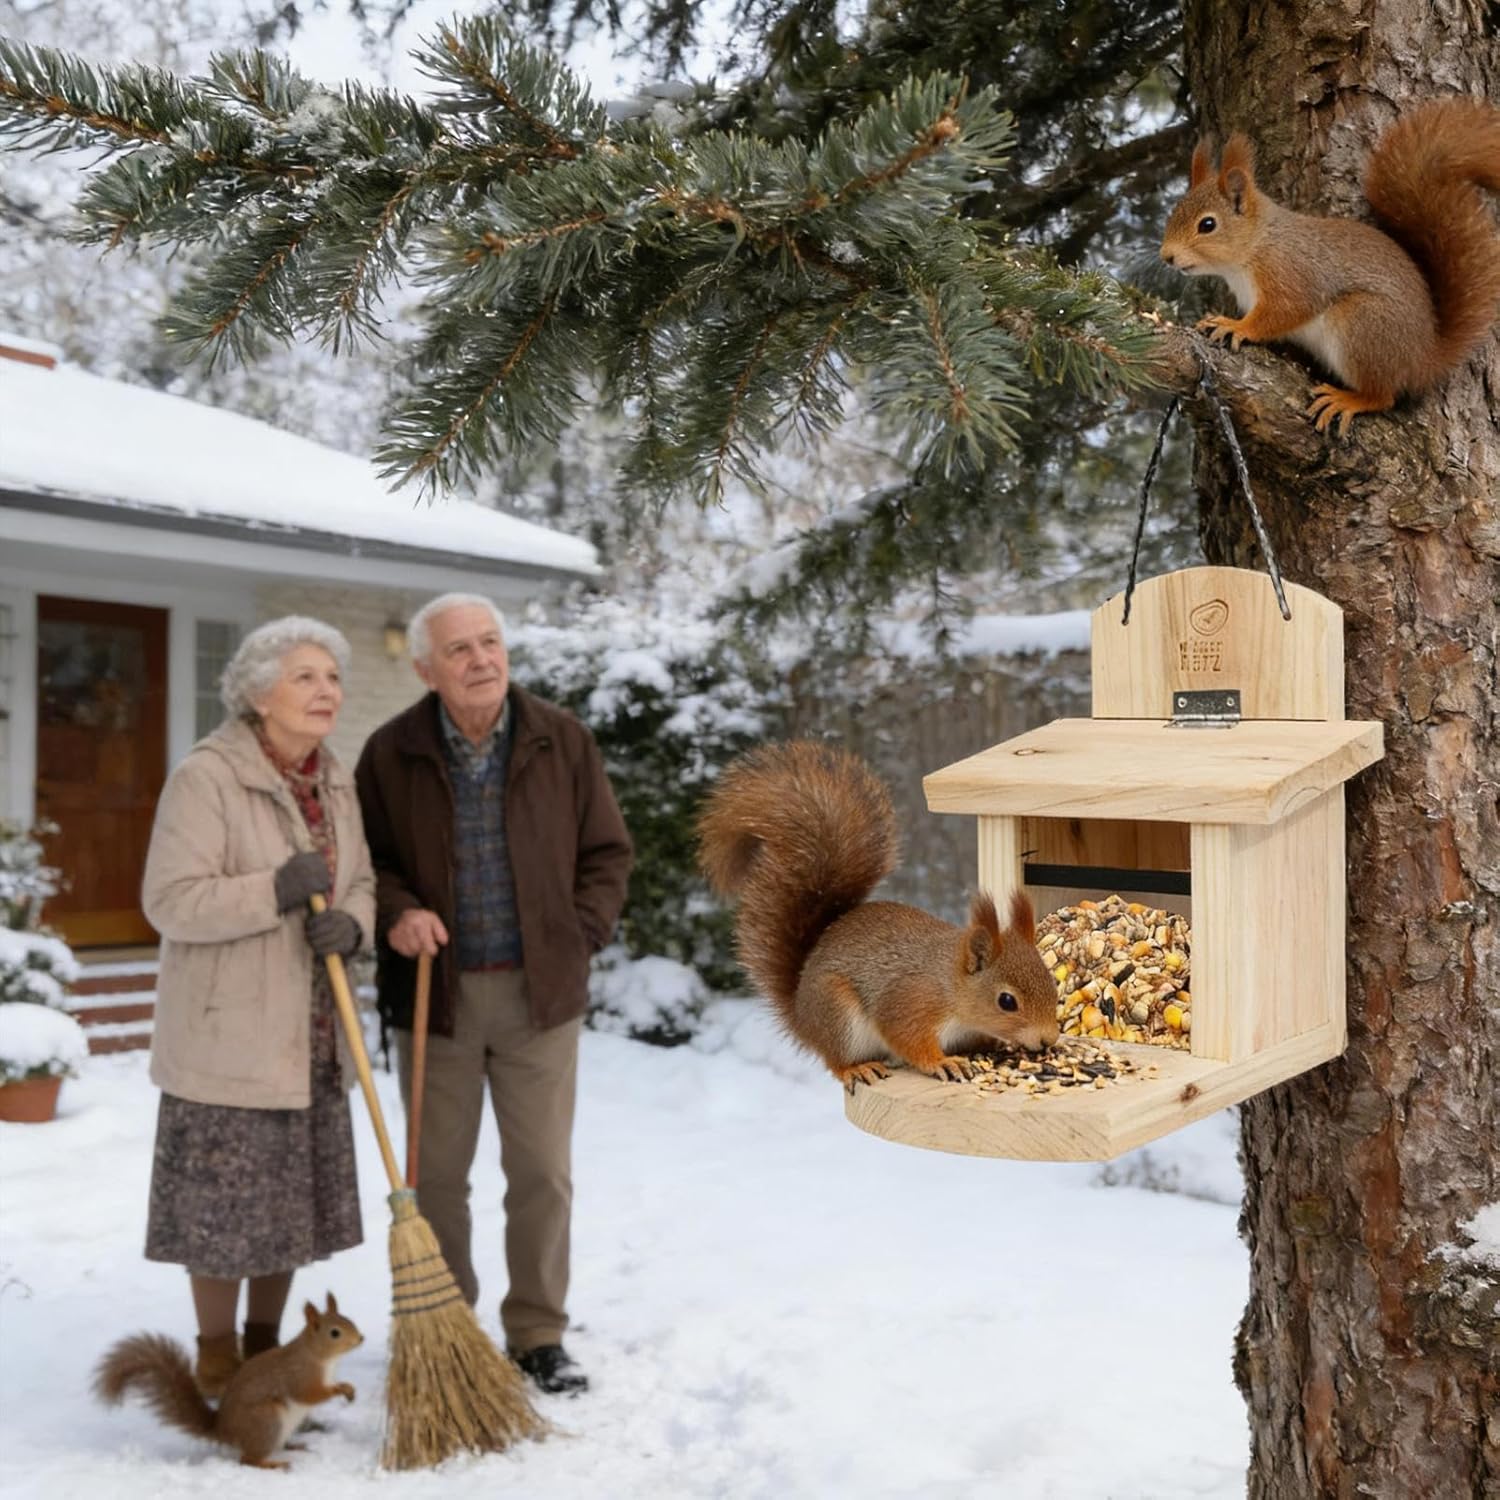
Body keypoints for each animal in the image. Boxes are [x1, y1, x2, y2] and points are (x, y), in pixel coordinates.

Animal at [93, 1293, 363, 1470]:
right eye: (335, 1333)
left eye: (349, 1319)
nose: (361, 1338)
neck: (319, 1356)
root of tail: (222, 1430)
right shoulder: (299, 1375)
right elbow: (310, 1393)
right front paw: (341, 1389)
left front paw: (349, 1389)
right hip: (266, 1420)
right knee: (247, 1460)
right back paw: (273, 1464)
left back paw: (293, 1447)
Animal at [697, 740, 1060, 1091]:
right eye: (1006, 1001)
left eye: (1052, 983)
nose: (1048, 1039)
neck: (950, 986)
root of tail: (802, 1016)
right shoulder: (911, 1003)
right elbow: (906, 1036)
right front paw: (942, 1062)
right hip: (837, 1015)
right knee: (835, 1061)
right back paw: (856, 1069)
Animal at [1159, 97, 1500, 434]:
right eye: (1173, 213)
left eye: (1207, 225)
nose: (1166, 256)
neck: (1256, 245)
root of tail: (1424, 359)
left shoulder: (1290, 272)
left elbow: (1285, 311)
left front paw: (1236, 326)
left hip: (1362, 325)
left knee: (1382, 396)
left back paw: (1347, 400)